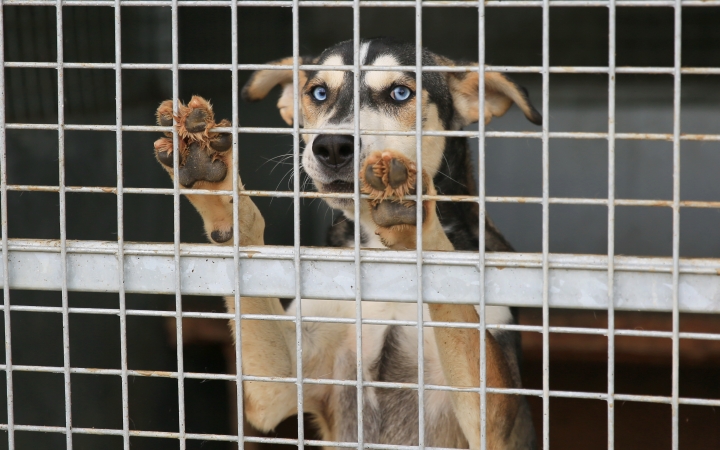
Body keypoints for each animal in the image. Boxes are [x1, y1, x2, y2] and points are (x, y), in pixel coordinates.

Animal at [155, 37, 544, 448]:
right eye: (319, 93)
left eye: (400, 92)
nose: (332, 146)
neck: (383, 258)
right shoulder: (274, 388)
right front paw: (210, 179)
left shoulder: (502, 425)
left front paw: (411, 211)